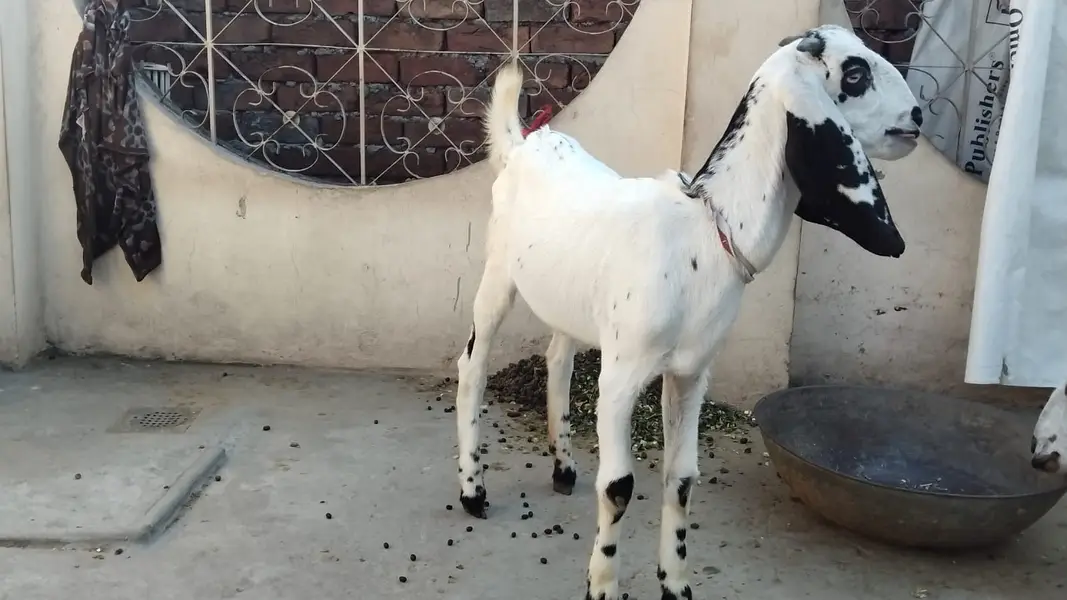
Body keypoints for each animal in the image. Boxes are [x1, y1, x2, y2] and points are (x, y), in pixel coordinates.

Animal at [453, 24, 922, 600]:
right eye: (854, 73)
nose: (917, 116)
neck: (703, 232)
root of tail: (524, 142)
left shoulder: (690, 373)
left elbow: (681, 479)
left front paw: (675, 583)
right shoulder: (622, 376)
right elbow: (618, 486)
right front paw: (602, 585)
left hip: (575, 305)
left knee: (558, 357)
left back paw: (563, 467)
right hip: (498, 274)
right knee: (472, 366)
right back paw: (473, 490)